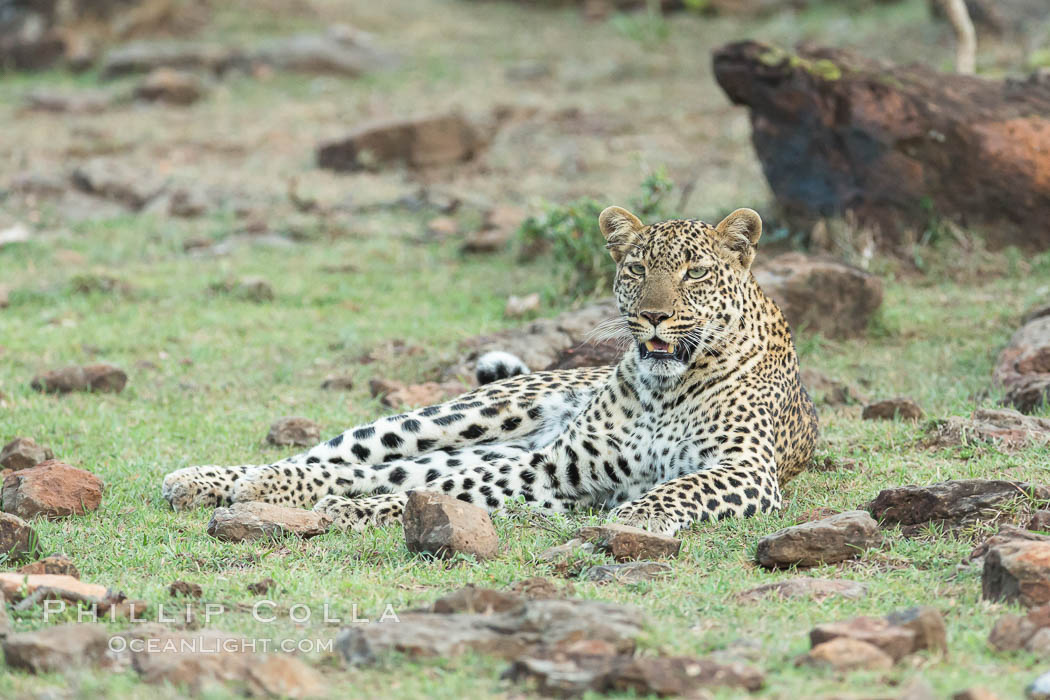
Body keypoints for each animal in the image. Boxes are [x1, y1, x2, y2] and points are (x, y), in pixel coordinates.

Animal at [163, 206, 818, 537]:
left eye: (696, 273)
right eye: (636, 268)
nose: (655, 316)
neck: (666, 389)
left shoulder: (743, 470)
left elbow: (676, 487)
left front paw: (633, 519)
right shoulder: (557, 466)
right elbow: (441, 487)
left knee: (386, 474)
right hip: (461, 416)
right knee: (339, 457)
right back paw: (221, 481)